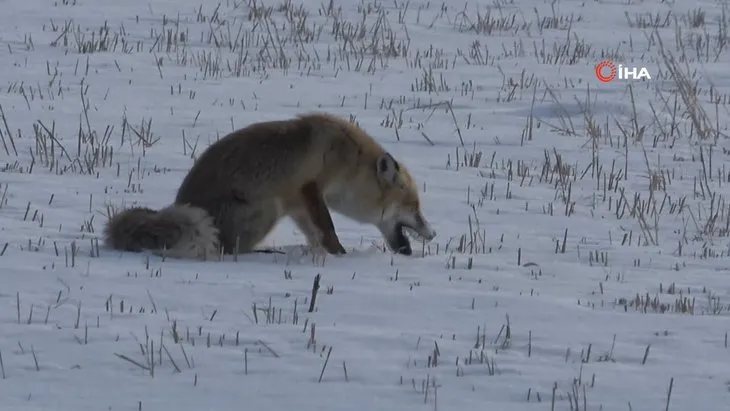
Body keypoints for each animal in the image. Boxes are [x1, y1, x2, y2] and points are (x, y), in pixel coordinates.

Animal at [104, 112, 436, 260]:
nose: (433, 234)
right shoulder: (310, 185)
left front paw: (326, 254)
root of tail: (181, 204)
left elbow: (316, 233)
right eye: (414, 208)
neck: (350, 158)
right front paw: (340, 255)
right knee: (227, 249)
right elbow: (328, 227)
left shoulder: (299, 203)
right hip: (267, 209)